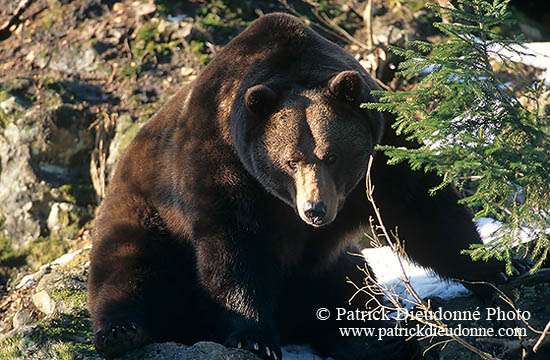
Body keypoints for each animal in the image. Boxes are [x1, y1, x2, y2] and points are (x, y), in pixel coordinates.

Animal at [89, 12, 512, 360]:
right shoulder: (223, 163)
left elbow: (421, 209)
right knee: (127, 268)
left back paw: (373, 337)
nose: (315, 210)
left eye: (332, 156)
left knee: (350, 288)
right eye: (290, 160)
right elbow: (234, 245)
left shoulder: (381, 150)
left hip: (330, 268)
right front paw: (254, 336)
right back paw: (121, 332)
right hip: (144, 214)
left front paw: (498, 269)